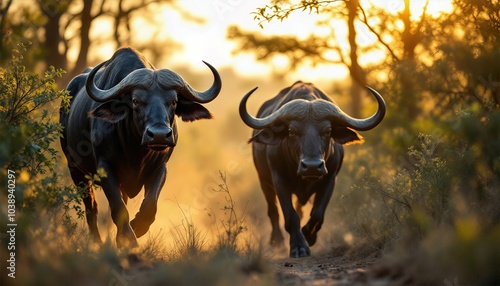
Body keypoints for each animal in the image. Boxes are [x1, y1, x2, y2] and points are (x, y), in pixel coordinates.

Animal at [60, 47, 221, 248]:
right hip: (75, 169)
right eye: (136, 101)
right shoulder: (105, 168)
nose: (159, 135)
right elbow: (118, 208)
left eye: (174, 101)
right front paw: (129, 241)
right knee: (91, 206)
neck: (135, 150)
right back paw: (96, 241)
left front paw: (136, 228)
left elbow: (150, 204)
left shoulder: (160, 168)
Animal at [240, 80, 384, 256]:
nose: (312, 166)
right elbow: (290, 215)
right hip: (263, 180)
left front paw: (309, 235)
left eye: (328, 131)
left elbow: (317, 214)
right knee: (273, 210)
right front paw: (298, 246)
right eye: (291, 131)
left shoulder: (330, 179)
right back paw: (277, 241)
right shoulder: (279, 180)